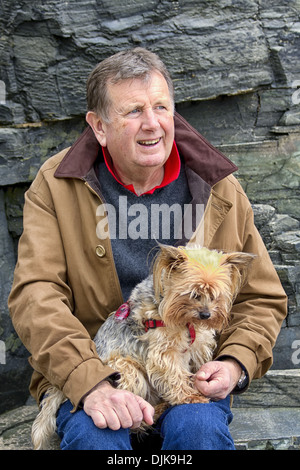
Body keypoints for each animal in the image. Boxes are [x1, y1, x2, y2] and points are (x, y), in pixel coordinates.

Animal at [31, 244, 254, 450]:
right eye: (193, 294)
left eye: (215, 296)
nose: (206, 315)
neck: (183, 320)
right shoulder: (164, 352)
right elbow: (174, 375)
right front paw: (188, 395)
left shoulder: (198, 345)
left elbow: (199, 364)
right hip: (126, 368)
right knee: (135, 422)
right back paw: (156, 410)